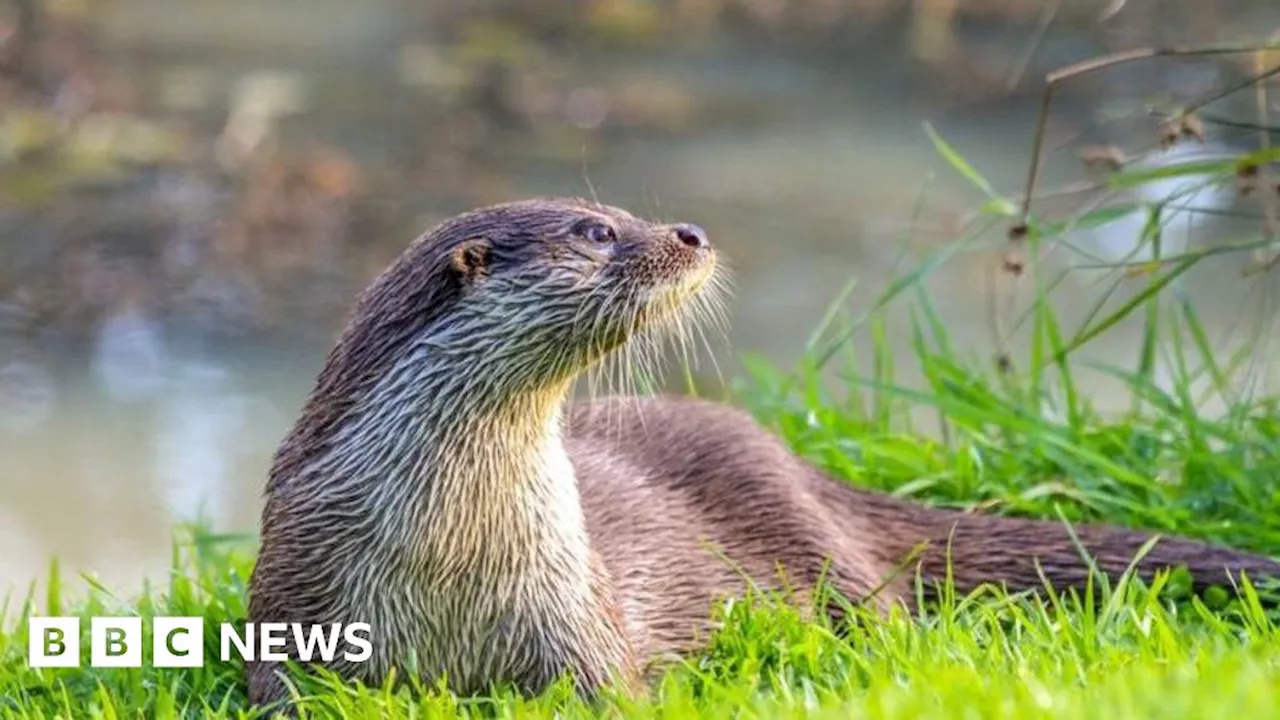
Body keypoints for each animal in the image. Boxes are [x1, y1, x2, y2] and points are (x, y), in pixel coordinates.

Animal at [247, 196, 1280, 707]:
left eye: (611, 207)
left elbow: (612, 688)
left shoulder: (571, 604)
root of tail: (796, 461)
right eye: (596, 230)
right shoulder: (297, 597)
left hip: (822, 551)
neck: (450, 550)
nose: (691, 233)